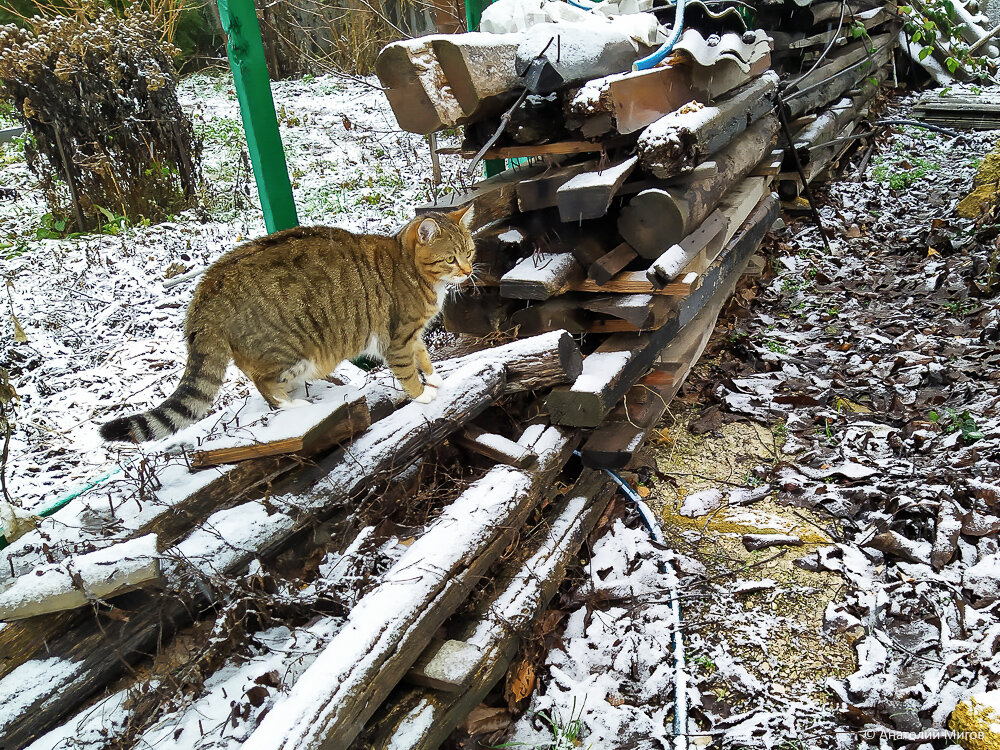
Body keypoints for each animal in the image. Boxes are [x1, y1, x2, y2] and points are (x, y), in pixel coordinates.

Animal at [99, 206, 474, 444]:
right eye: (450, 258)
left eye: (469, 252)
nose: (470, 271)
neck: (413, 268)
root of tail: (207, 287)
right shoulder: (396, 337)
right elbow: (407, 370)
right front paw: (423, 395)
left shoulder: (413, 334)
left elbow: (423, 357)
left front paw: (435, 378)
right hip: (291, 351)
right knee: (263, 384)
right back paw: (293, 404)